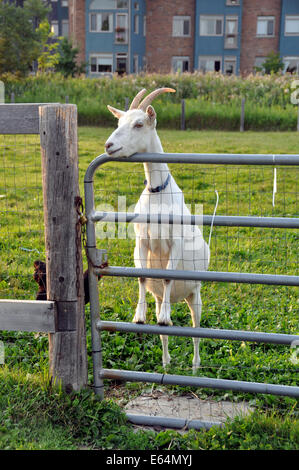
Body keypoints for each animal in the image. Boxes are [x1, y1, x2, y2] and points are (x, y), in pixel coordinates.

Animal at [106, 90, 210, 372]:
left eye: (139, 124)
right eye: (119, 122)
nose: (108, 145)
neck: (158, 192)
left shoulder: (175, 243)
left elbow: (166, 276)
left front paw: (164, 318)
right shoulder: (142, 241)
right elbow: (143, 277)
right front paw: (138, 316)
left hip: (195, 295)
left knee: (196, 331)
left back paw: (195, 366)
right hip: (163, 298)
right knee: (165, 333)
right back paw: (165, 362)